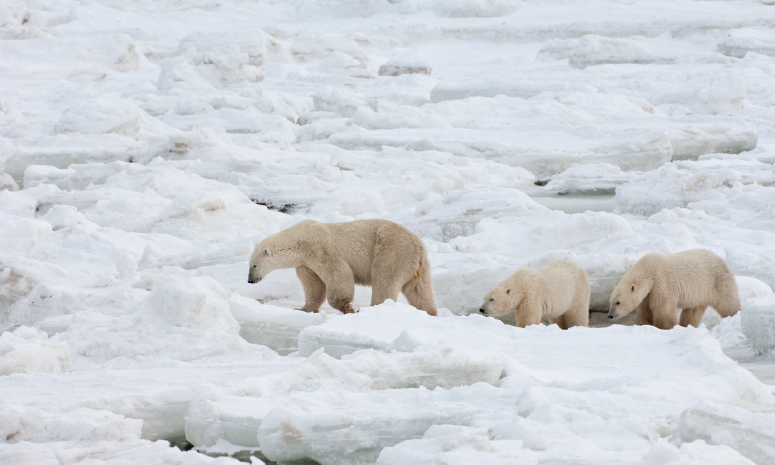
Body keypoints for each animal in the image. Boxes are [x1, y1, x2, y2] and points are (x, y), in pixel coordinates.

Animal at [248, 219, 437, 316]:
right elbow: (313, 285)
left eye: (254, 265)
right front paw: (303, 308)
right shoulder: (305, 263)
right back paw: (430, 312)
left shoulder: (319, 247)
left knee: (384, 279)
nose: (250, 280)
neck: (299, 238)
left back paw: (373, 308)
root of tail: (418, 245)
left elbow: (338, 272)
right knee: (419, 289)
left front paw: (347, 308)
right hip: (416, 265)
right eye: (249, 265)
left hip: (391, 250)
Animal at [607, 249, 741, 329]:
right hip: (699, 293)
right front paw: (643, 324)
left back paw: (736, 316)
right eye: (610, 301)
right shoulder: (648, 293)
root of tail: (720, 259)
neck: (649, 271)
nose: (610, 315)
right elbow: (645, 310)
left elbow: (663, 309)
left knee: (728, 303)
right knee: (693, 310)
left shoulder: (661, 283)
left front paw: (664, 327)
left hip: (718, 281)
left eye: (618, 302)